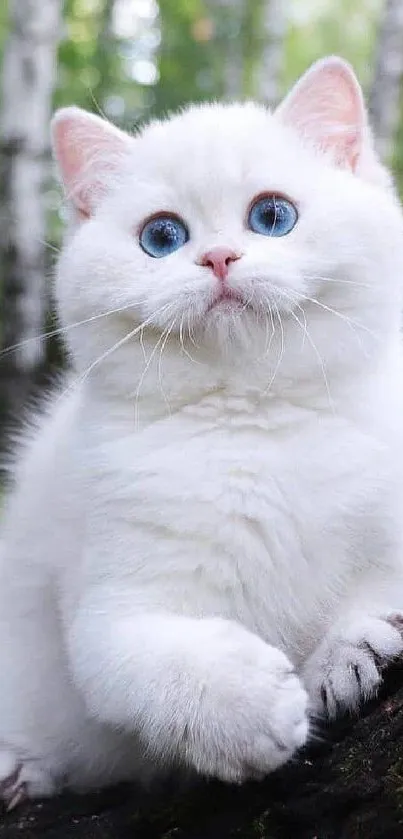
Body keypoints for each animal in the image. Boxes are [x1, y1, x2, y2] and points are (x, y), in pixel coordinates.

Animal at [2, 57, 403, 808]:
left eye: (271, 216)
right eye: (162, 237)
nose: (217, 256)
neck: (256, 415)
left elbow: (378, 588)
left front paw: (347, 649)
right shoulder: (111, 606)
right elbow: (145, 662)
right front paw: (252, 707)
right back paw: (21, 767)